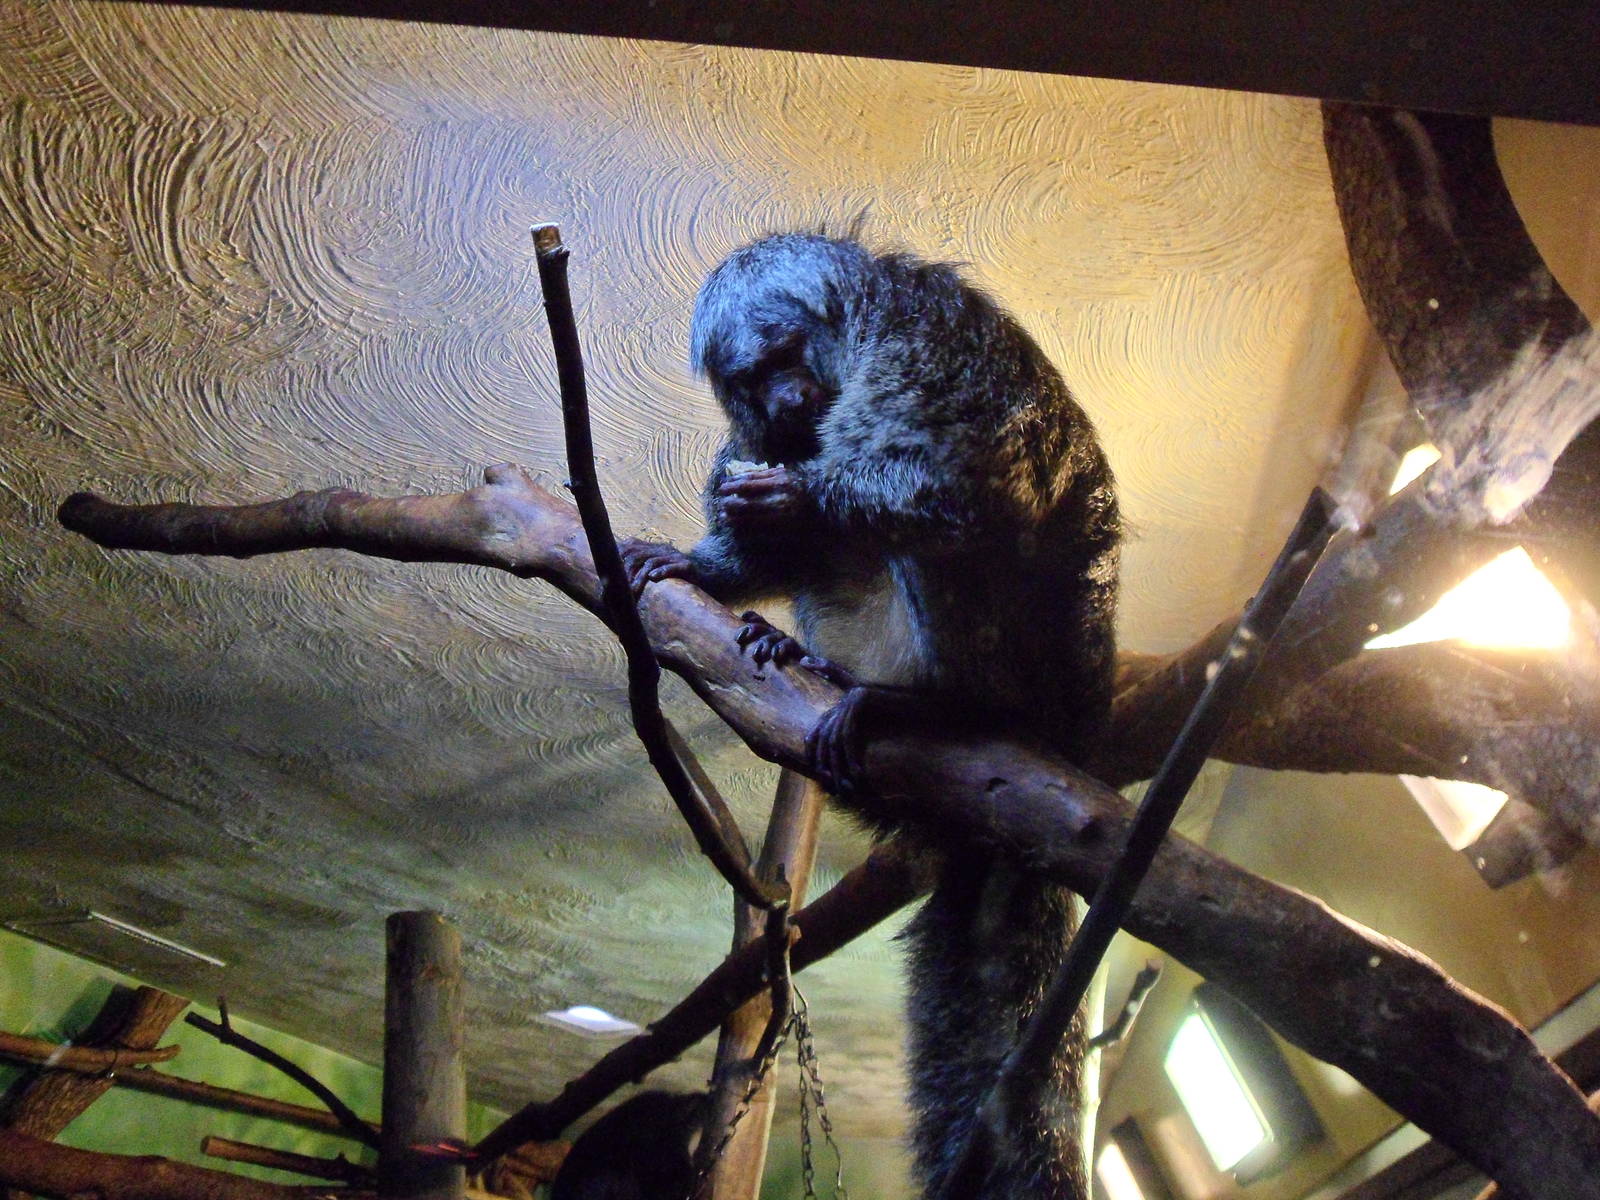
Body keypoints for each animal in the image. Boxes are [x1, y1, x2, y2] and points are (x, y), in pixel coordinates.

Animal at [623, 233, 1119, 1198]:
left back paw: (929, 703)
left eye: (787, 357)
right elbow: (770, 535)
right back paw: (807, 659)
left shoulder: (925, 350)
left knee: (954, 531)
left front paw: (796, 496)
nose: (784, 399)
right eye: (753, 380)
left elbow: (954, 486)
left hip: (1030, 674)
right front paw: (708, 568)